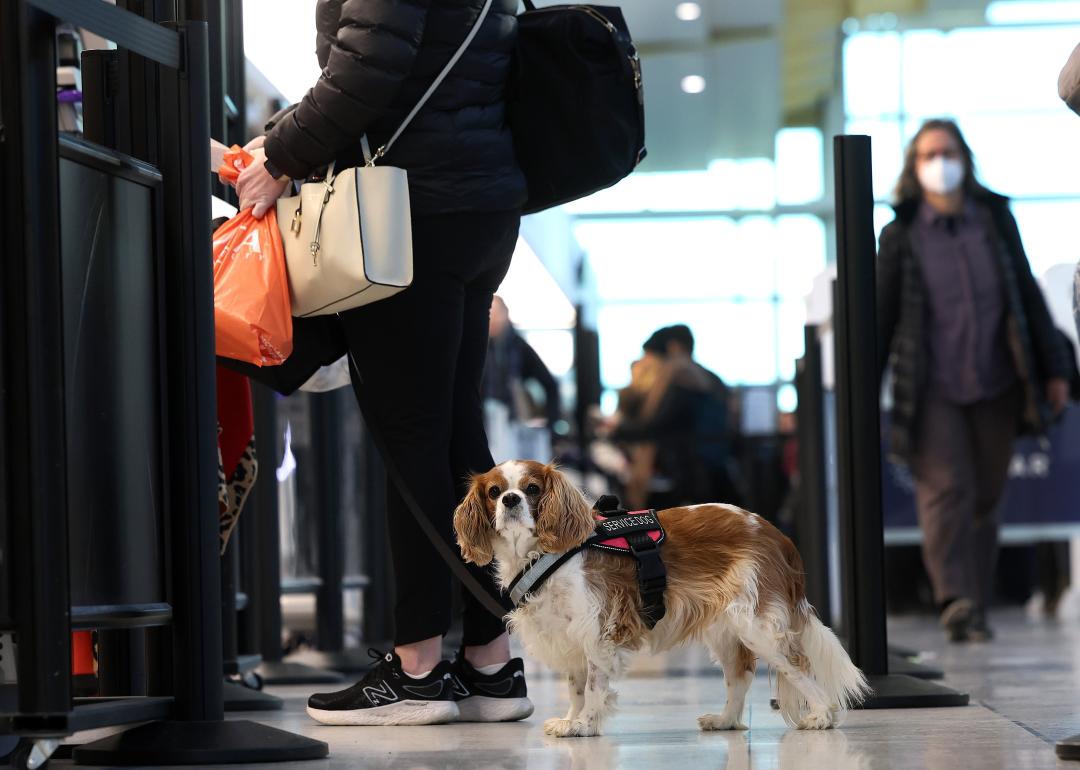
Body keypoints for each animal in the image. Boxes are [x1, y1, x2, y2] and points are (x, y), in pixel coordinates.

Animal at [453, 460, 868, 734]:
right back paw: (726, 720)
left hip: (758, 625)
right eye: (494, 492)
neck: (542, 554)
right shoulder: (566, 636)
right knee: (740, 675)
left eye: (532, 489)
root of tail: (776, 534)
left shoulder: (598, 630)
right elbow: (575, 687)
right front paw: (572, 720)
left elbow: (593, 685)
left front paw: (585, 725)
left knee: (798, 667)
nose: (510, 500)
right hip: (727, 627)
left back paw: (822, 715)